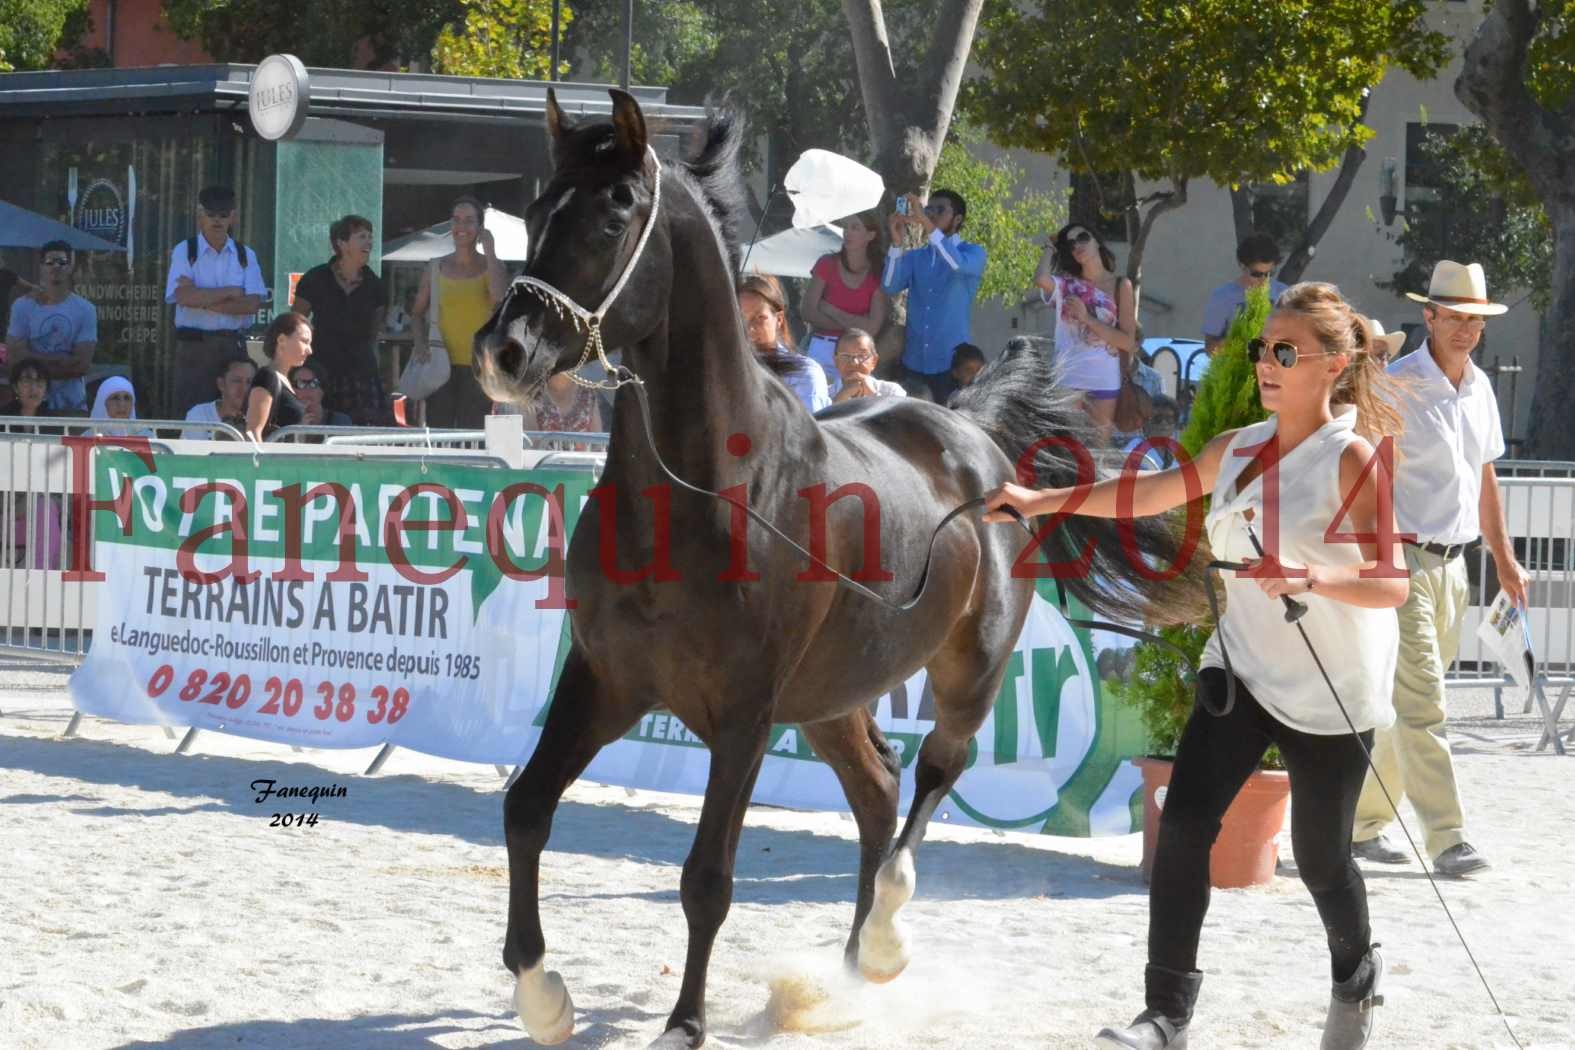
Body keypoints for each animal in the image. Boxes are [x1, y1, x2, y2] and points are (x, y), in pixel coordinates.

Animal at [469, 92, 1203, 1050]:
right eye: (534, 209)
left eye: (612, 215)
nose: (502, 352)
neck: (707, 488)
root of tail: (969, 432)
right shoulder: (606, 680)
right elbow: (524, 809)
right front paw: (544, 997)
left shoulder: (743, 714)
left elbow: (706, 879)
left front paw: (683, 1024)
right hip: (829, 697)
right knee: (876, 791)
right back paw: (849, 977)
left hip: (965, 674)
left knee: (930, 777)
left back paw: (883, 941)